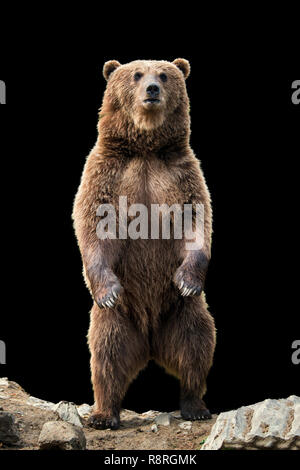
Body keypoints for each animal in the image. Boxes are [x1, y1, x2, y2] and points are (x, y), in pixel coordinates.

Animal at [74, 58, 217, 430]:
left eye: (164, 75)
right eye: (136, 74)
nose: (152, 89)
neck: (145, 148)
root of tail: (150, 343)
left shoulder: (181, 174)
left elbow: (196, 220)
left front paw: (188, 279)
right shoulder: (107, 172)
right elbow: (93, 222)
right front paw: (107, 289)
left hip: (181, 312)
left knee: (197, 344)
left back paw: (195, 405)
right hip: (119, 319)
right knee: (106, 355)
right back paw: (104, 414)